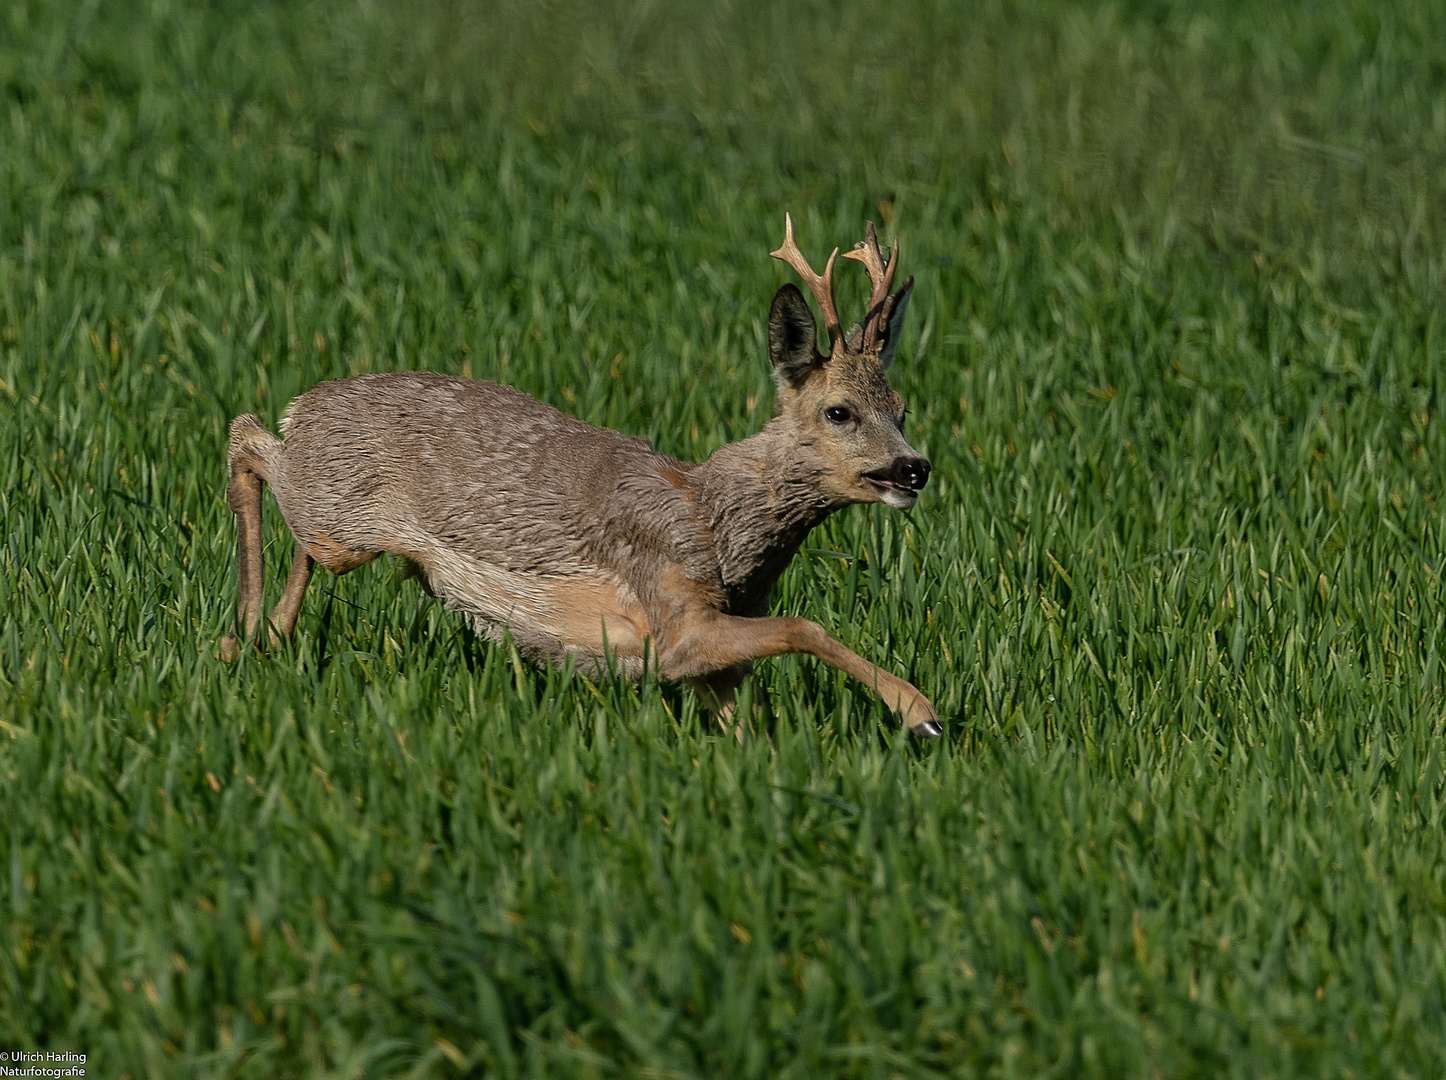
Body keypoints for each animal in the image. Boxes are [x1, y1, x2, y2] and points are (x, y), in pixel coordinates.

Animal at [214, 211, 937, 734]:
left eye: (902, 407)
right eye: (839, 411)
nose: (914, 468)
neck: (717, 526)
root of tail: (310, 400)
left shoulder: (714, 666)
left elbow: (751, 719)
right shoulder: (672, 620)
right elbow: (803, 626)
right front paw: (920, 713)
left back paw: (266, 634)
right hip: (338, 514)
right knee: (249, 437)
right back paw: (242, 630)